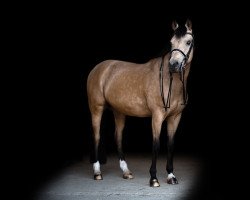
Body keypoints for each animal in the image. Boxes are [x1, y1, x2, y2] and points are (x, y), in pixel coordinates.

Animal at [87, 19, 194, 187]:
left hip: (119, 112)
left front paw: (171, 175)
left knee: (118, 137)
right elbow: (156, 145)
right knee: (96, 137)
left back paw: (126, 172)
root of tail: (98, 68)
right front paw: (154, 178)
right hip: (96, 109)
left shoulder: (176, 117)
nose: (173, 65)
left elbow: (170, 144)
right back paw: (97, 172)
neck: (168, 80)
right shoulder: (157, 116)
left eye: (188, 42)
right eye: (171, 43)